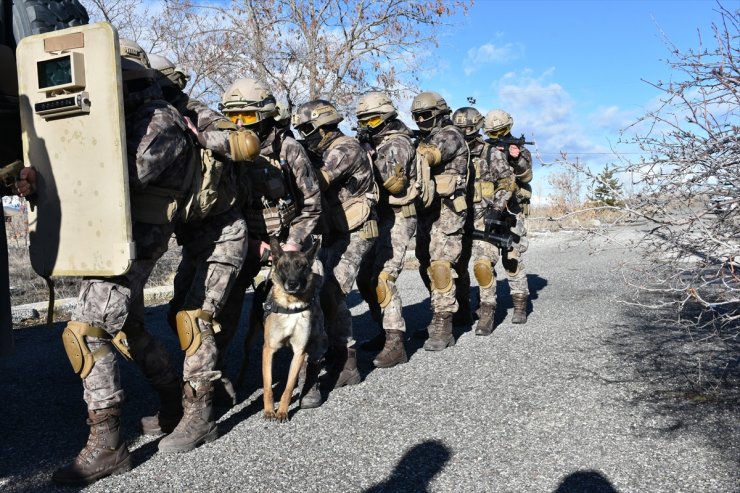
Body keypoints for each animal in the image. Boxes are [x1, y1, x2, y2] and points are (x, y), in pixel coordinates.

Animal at [243, 236, 320, 420]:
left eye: (301, 266)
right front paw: (269, 410)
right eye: (284, 266)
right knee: (246, 356)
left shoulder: (300, 352)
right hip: (252, 336)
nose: (292, 283)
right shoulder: (268, 349)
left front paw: (283, 411)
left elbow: (289, 386)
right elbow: (267, 385)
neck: (291, 305)